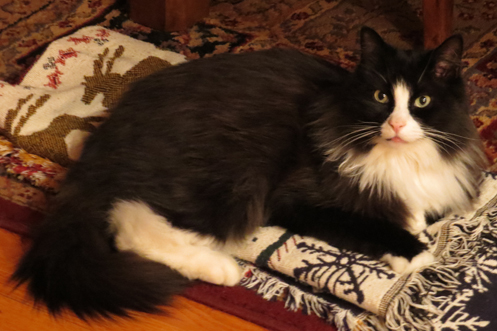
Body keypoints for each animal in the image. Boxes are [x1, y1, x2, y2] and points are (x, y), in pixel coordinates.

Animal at [12, 27, 488, 320]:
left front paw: (422, 226)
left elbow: (416, 210)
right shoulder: (295, 197)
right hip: (238, 181)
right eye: (381, 97)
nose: (398, 125)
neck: (398, 156)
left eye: (422, 102)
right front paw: (415, 252)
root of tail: (101, 144)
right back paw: (222, 269)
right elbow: (366, 223)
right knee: (130, 222)